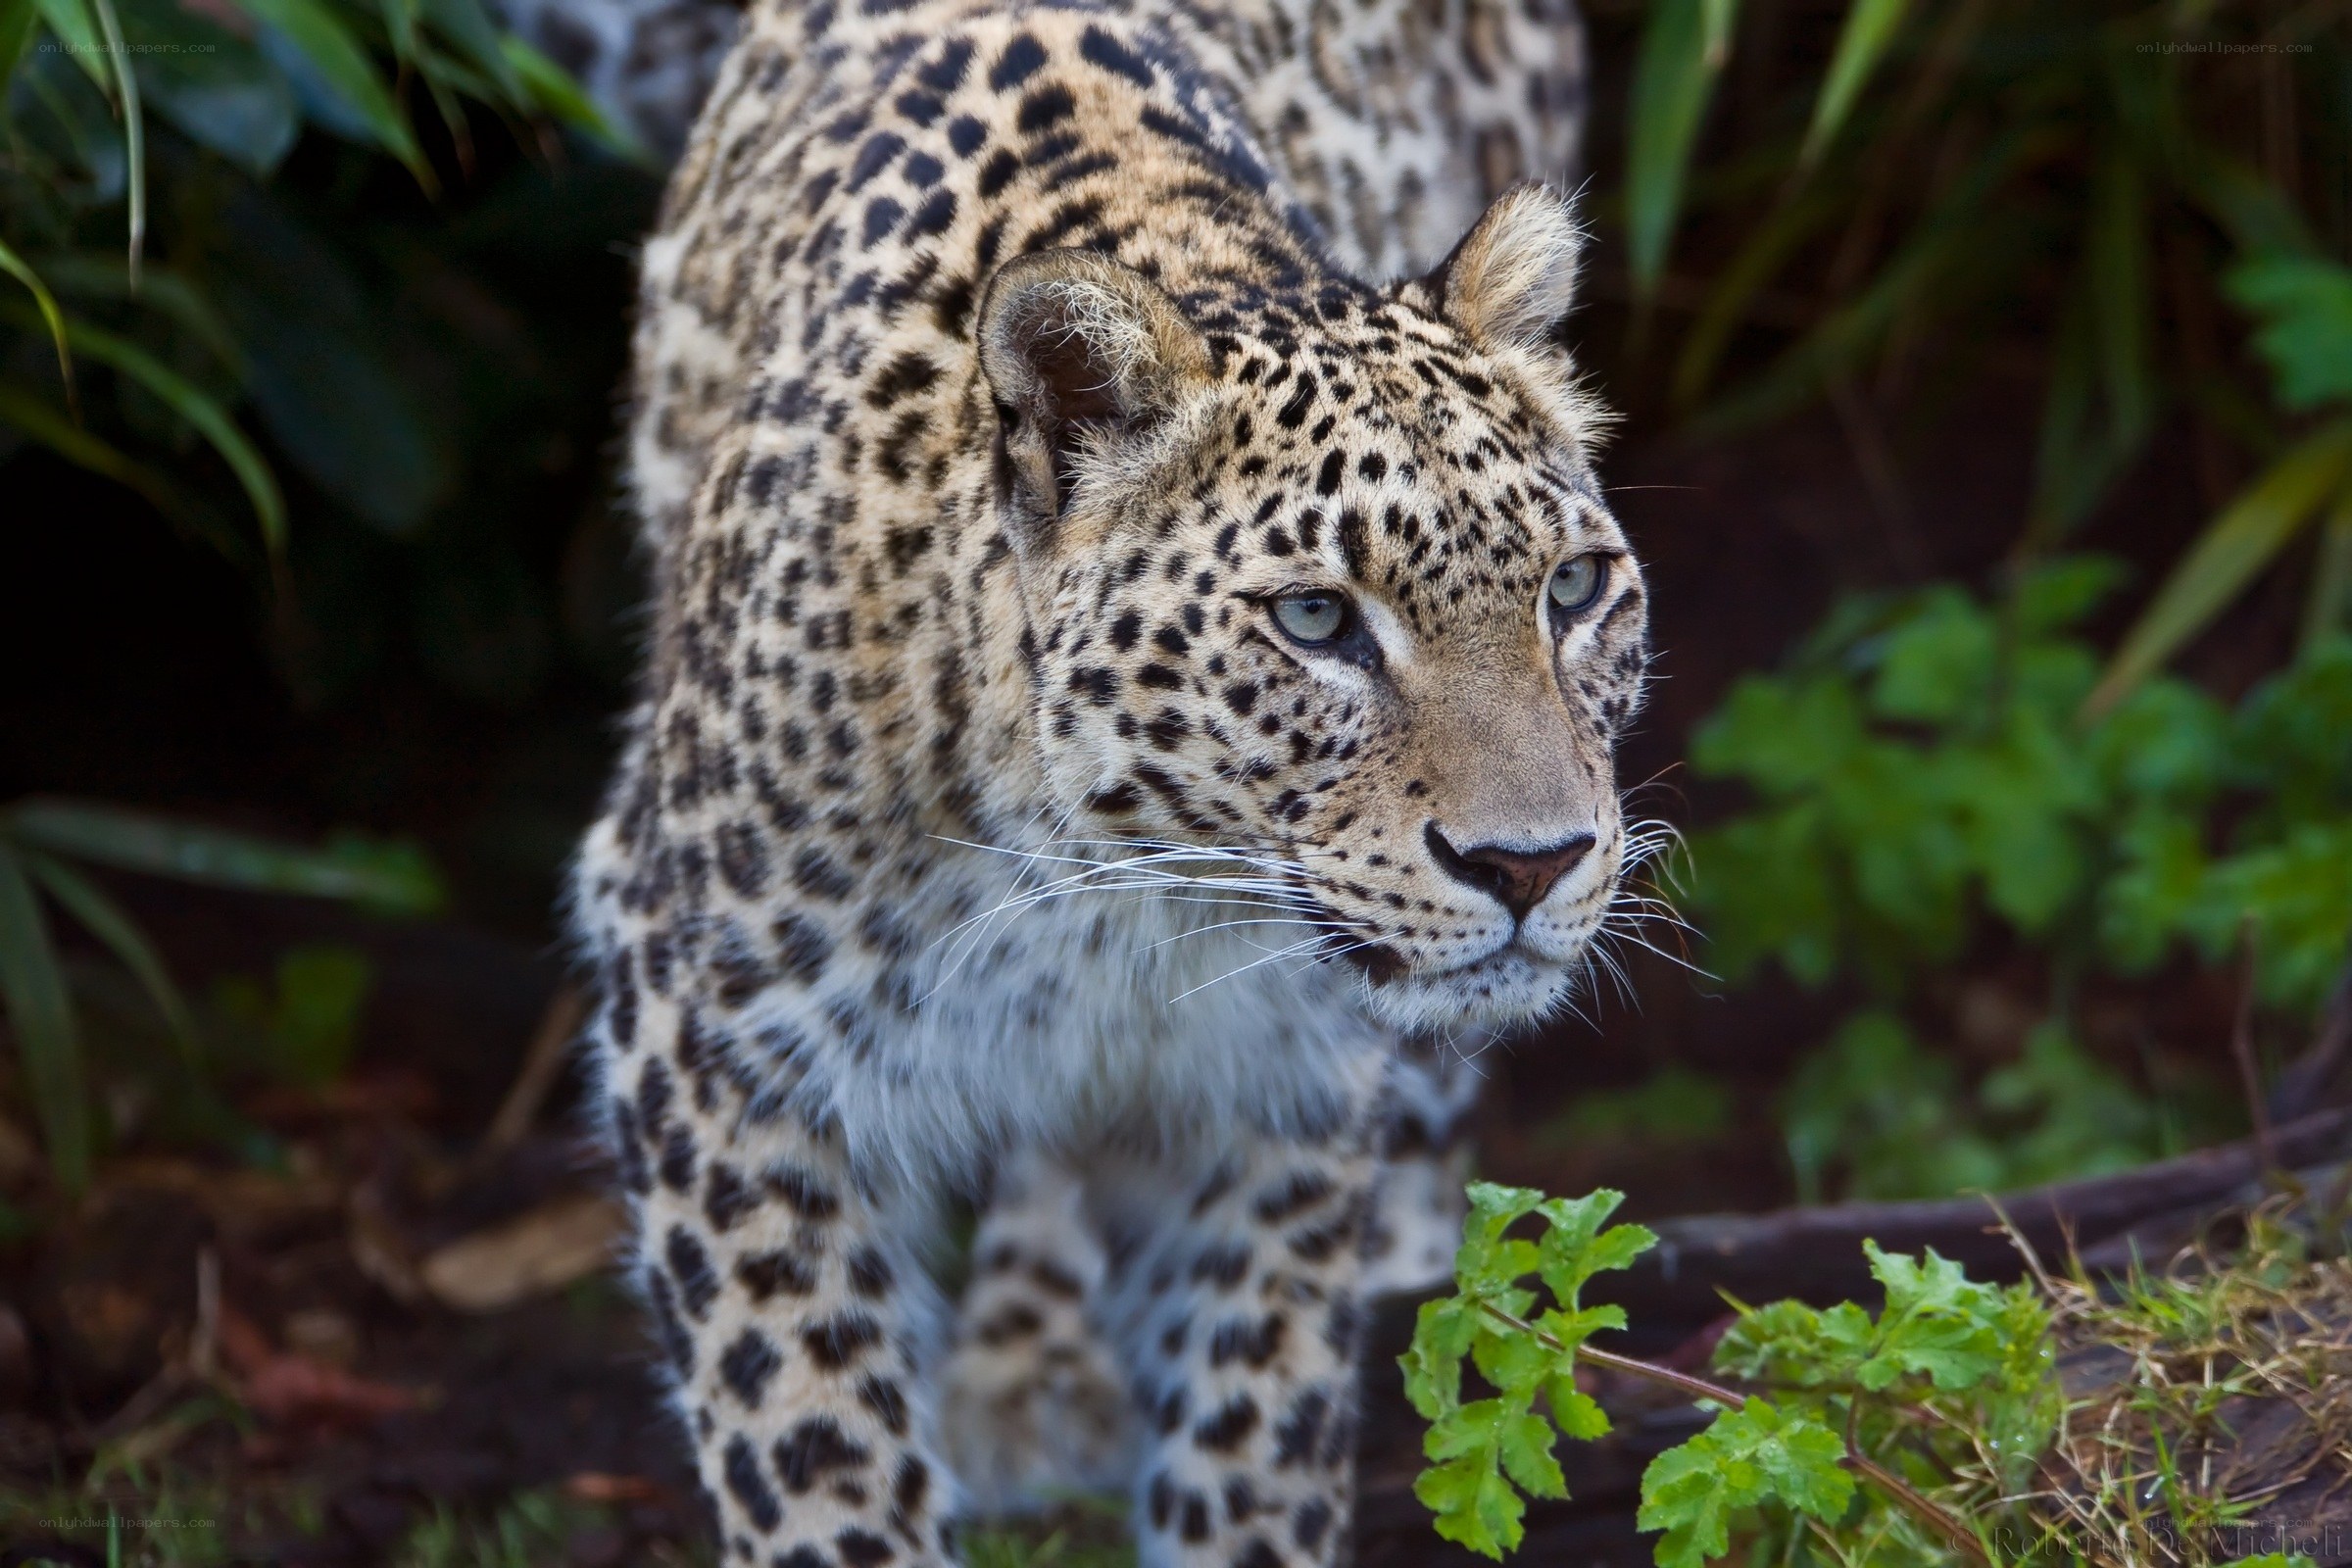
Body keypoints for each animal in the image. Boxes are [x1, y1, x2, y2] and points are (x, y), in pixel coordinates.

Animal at [564, 0, 1650, 1561]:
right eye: (1315, 620)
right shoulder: (709, 1034)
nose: (1533, 863)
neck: (1105, 881)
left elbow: (1254, 1438)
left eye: (1572, 592)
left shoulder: (1277, 1097)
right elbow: (812, 1444)